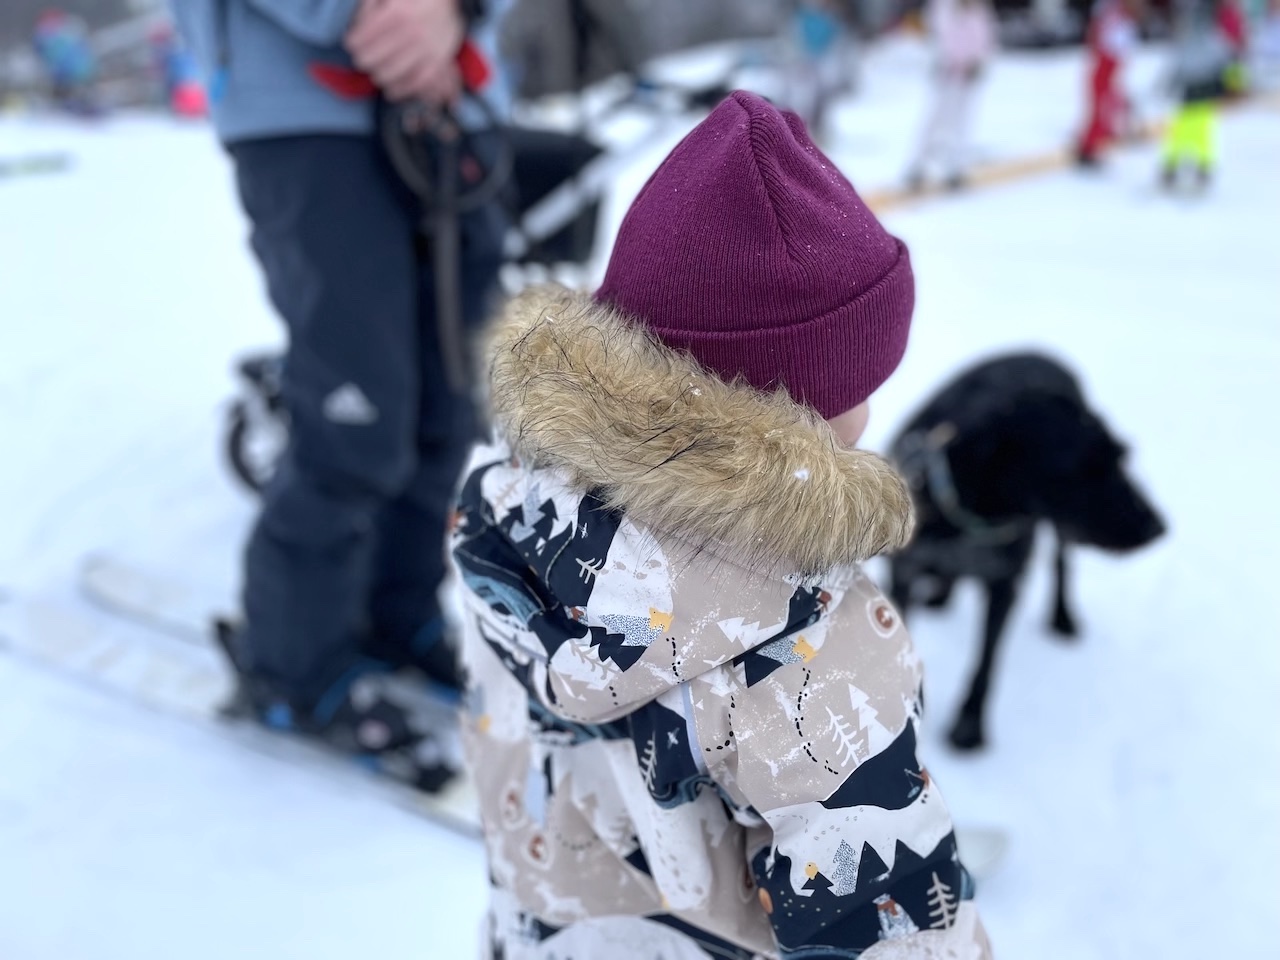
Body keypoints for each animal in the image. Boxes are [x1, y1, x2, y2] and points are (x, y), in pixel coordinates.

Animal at [885, 353, 1167, 752]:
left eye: (1120, 455)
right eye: (1081, 470)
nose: (1157, 527)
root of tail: (1042, 352)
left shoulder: (1007, 583)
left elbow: (987, 660)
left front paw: (969, 725)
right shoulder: (904, 575)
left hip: (1059, 533)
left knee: (1061, 563)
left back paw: (1062, 616)